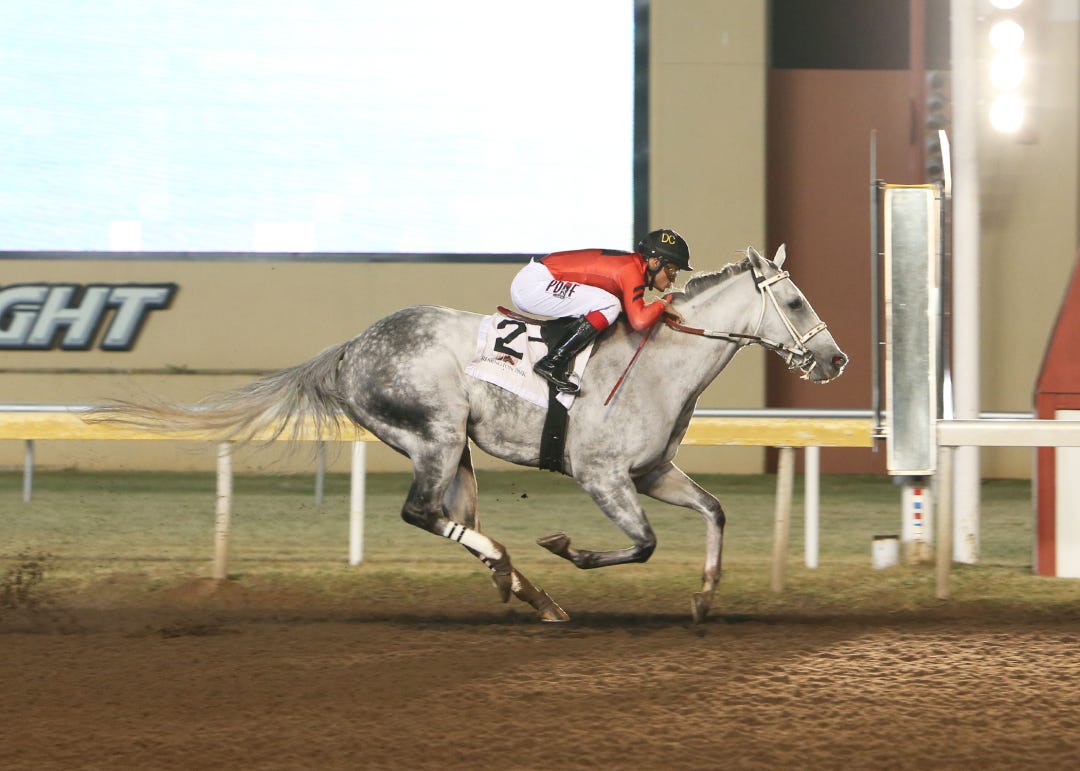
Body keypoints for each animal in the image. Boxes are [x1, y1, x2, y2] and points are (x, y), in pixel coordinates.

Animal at [89, 244, 847, 623]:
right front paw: (566, 547)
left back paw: (525, 588)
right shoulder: (602, 474)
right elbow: (642, 544)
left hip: (454, 449)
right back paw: (520, 573)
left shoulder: (653, 471)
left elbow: (713, 512)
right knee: (421, 512)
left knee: (455, 518)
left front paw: (705, 597)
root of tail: (352, 347)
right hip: (436, 433)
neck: (659, 363)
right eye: (794, 299)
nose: (836, 360)